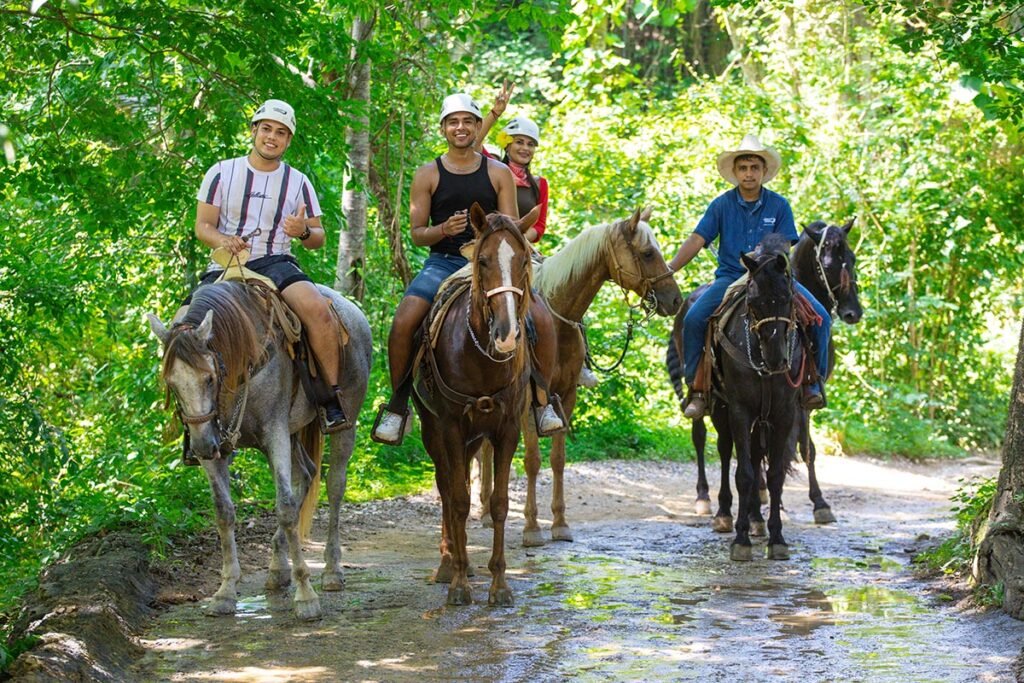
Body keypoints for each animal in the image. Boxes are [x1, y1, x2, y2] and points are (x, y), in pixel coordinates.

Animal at [144, 280, 368, 622]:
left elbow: (286, 508)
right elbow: (224, 512)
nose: (199, 447)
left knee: (334, 487)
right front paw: (225, 592)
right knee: (306, 474)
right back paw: (277, 569)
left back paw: (331, 571)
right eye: (171, 382)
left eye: (209, 378)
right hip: (292, 434)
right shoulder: (219, 445)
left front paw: (306, 596)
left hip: (345, 424)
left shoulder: (274, 433)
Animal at [409, 204, 536, 610]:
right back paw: (448, 563)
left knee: (459, 478)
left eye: (524, 260)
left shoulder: (507, 430)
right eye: (482, 261)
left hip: (472, 438)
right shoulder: (449, 426)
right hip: (433, 430)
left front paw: (499, 583)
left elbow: (498, 504)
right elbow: (460, 500)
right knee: (447, 487)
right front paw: (460, 583)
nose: (507, 334)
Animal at [477, 205, 684, 548]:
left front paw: (560, 524)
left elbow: (558, 460)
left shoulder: (566, 395)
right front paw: (531, 528)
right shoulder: (529, 400)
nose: (675, 300)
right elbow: (532, 460)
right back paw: (481, 510)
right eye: (647, 253)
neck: (556, 318)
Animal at [671, 216, 864, 528]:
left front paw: (817, 503)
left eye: (852, 258)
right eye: (826, 263)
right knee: (704, 437)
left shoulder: (799, 402)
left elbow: (802, 449)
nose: (852, 312)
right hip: (706, 394)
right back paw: (706, 499)